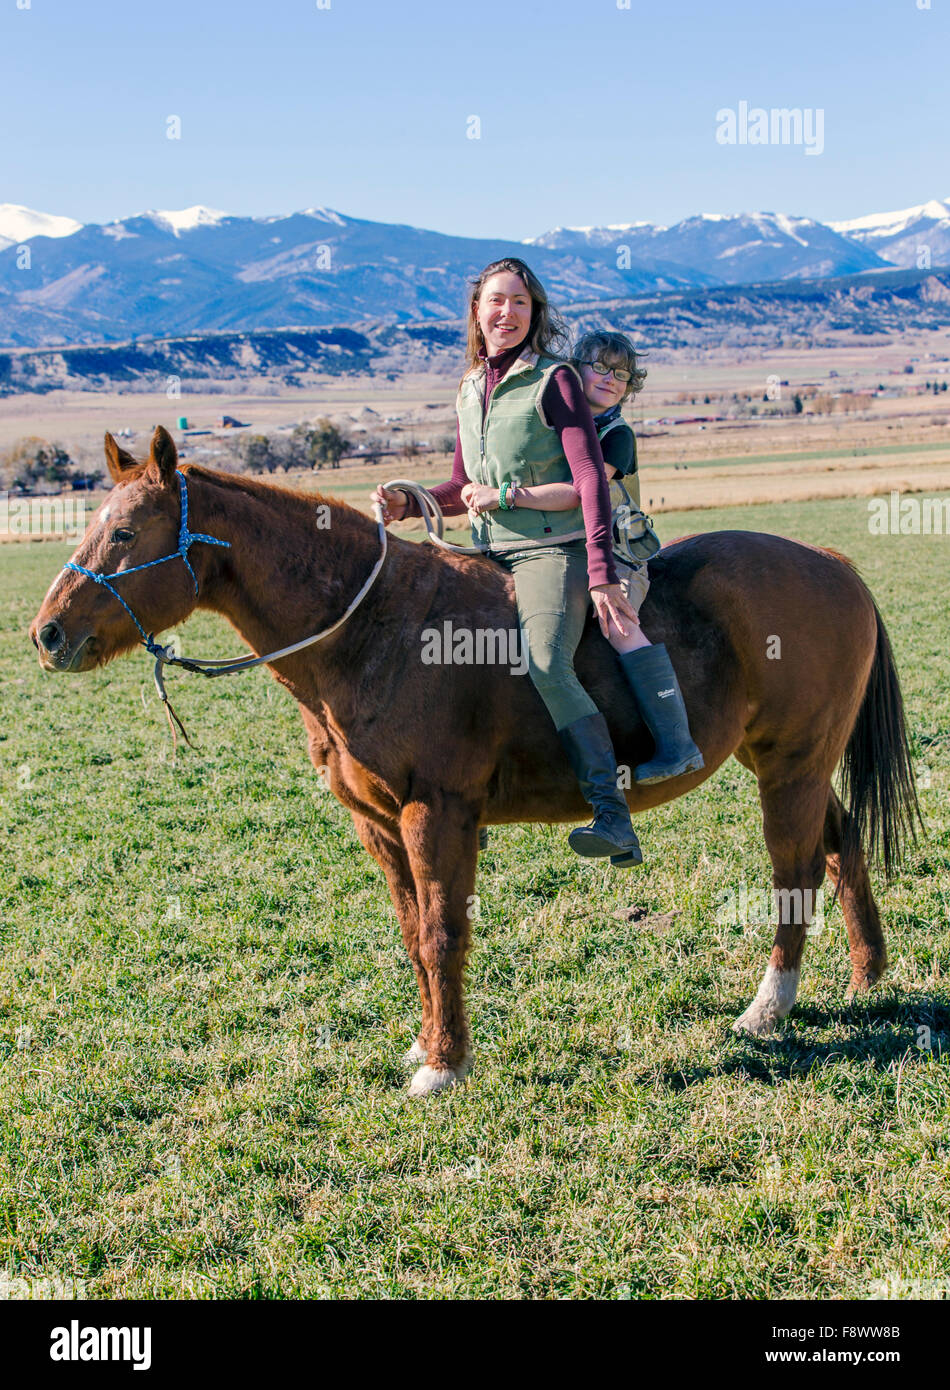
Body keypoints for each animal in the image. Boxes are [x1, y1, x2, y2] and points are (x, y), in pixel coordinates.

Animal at [29, 428, 923, 1089]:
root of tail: (831, 563)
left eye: (123, 532)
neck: (372, 629)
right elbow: (410, 932)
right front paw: (427, 1044)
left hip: (790, 767)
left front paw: (445, 1065)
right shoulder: (378, 823)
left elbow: (440, 934)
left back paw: (769, 1008)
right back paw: (866, 976)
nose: (46, 634)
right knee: (841, 844)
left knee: (796, 872)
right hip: (788, 764)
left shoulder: (440, 813)